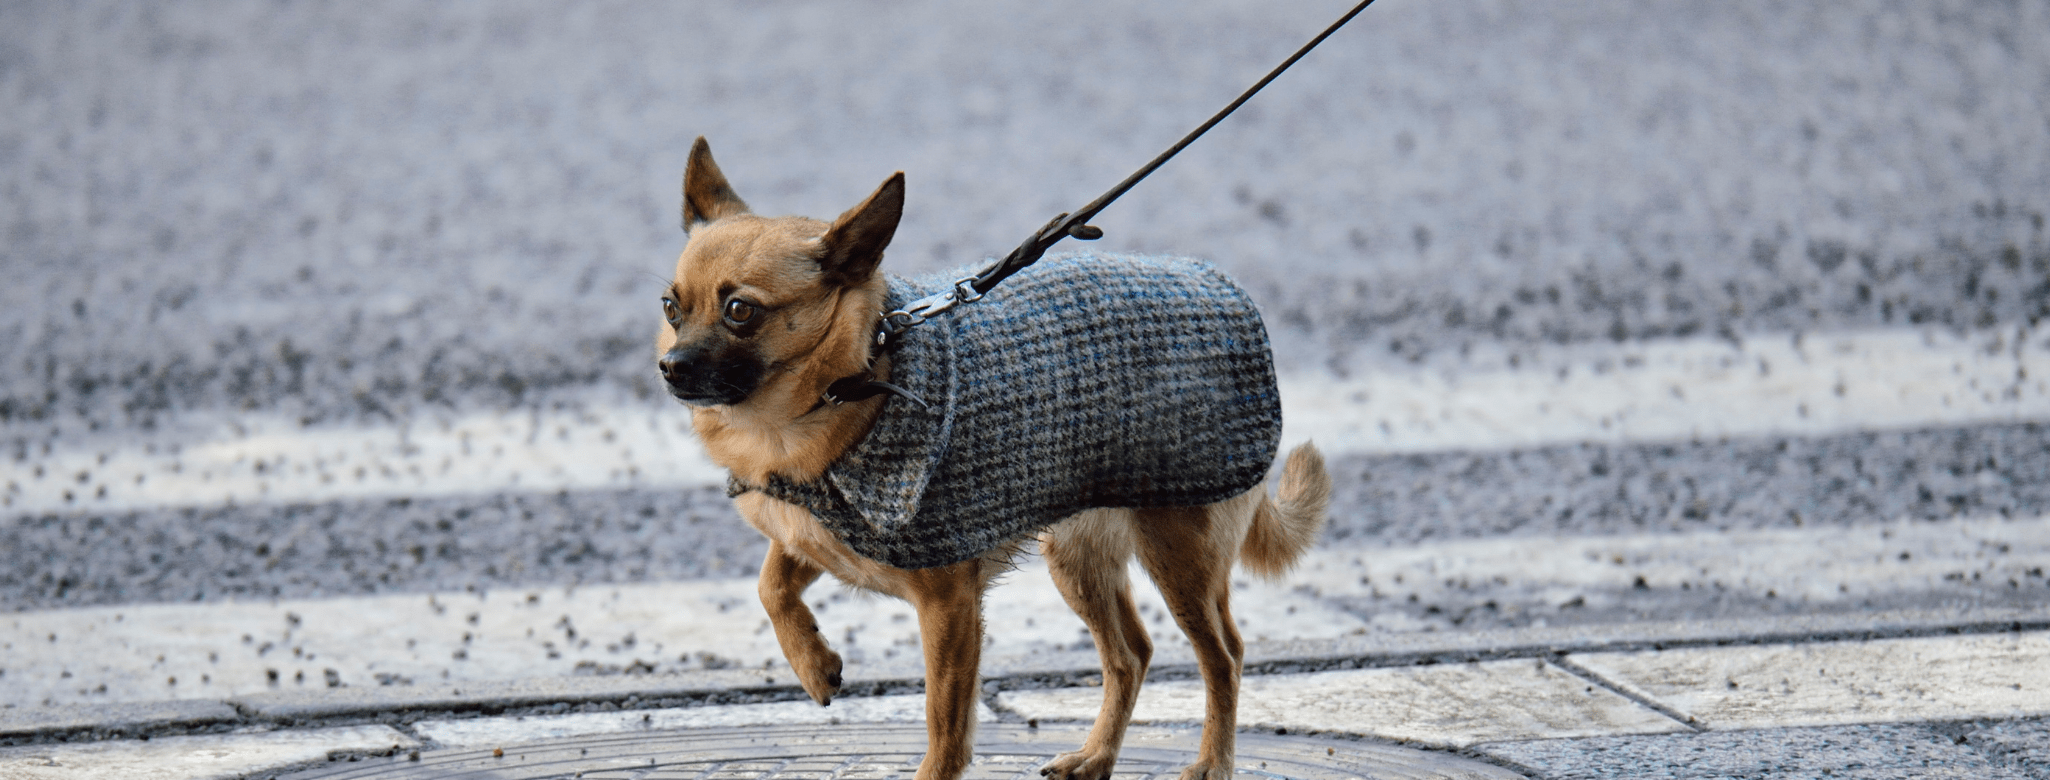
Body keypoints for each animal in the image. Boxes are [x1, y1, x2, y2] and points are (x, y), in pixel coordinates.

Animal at [656, 138, 1328, 780]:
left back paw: (1212, 761)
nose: (669, 367)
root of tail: (1225, 289)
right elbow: (770, 585)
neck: (860, 376)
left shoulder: (949, 608)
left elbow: (944, 723)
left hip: (1179, 557)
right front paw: (814, 663)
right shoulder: (814, 537)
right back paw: (1095, 757)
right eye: (671, 307)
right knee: (1132, 653)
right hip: (1078, 561)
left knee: (1223, 656)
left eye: (740, 310)